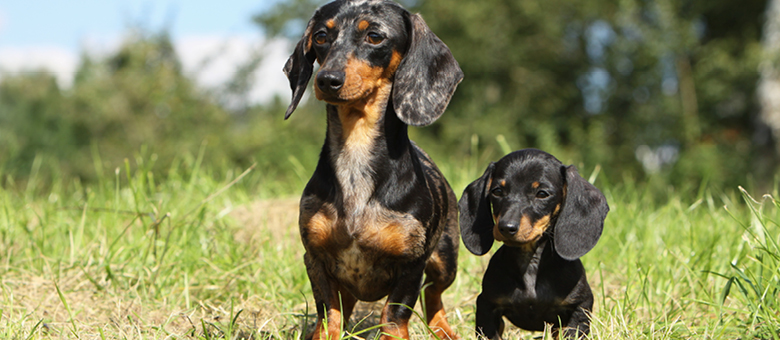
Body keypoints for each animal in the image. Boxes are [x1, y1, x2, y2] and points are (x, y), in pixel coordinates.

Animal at [280, 1, 464, 338]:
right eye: (321, 36)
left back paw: (442, 329)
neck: (356, 156)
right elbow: (330, 312)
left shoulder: (411, 266)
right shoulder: (314, 258)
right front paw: (323, 333)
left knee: (434, 294)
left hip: (446, 259)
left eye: (375, 36)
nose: (327, 79)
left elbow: (393, 316)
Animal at [460, 149, 608, 340]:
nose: (506, 227)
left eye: (542, 194)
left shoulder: (580, 306)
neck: (530, 262)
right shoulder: (487, 305)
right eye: (497, 191)